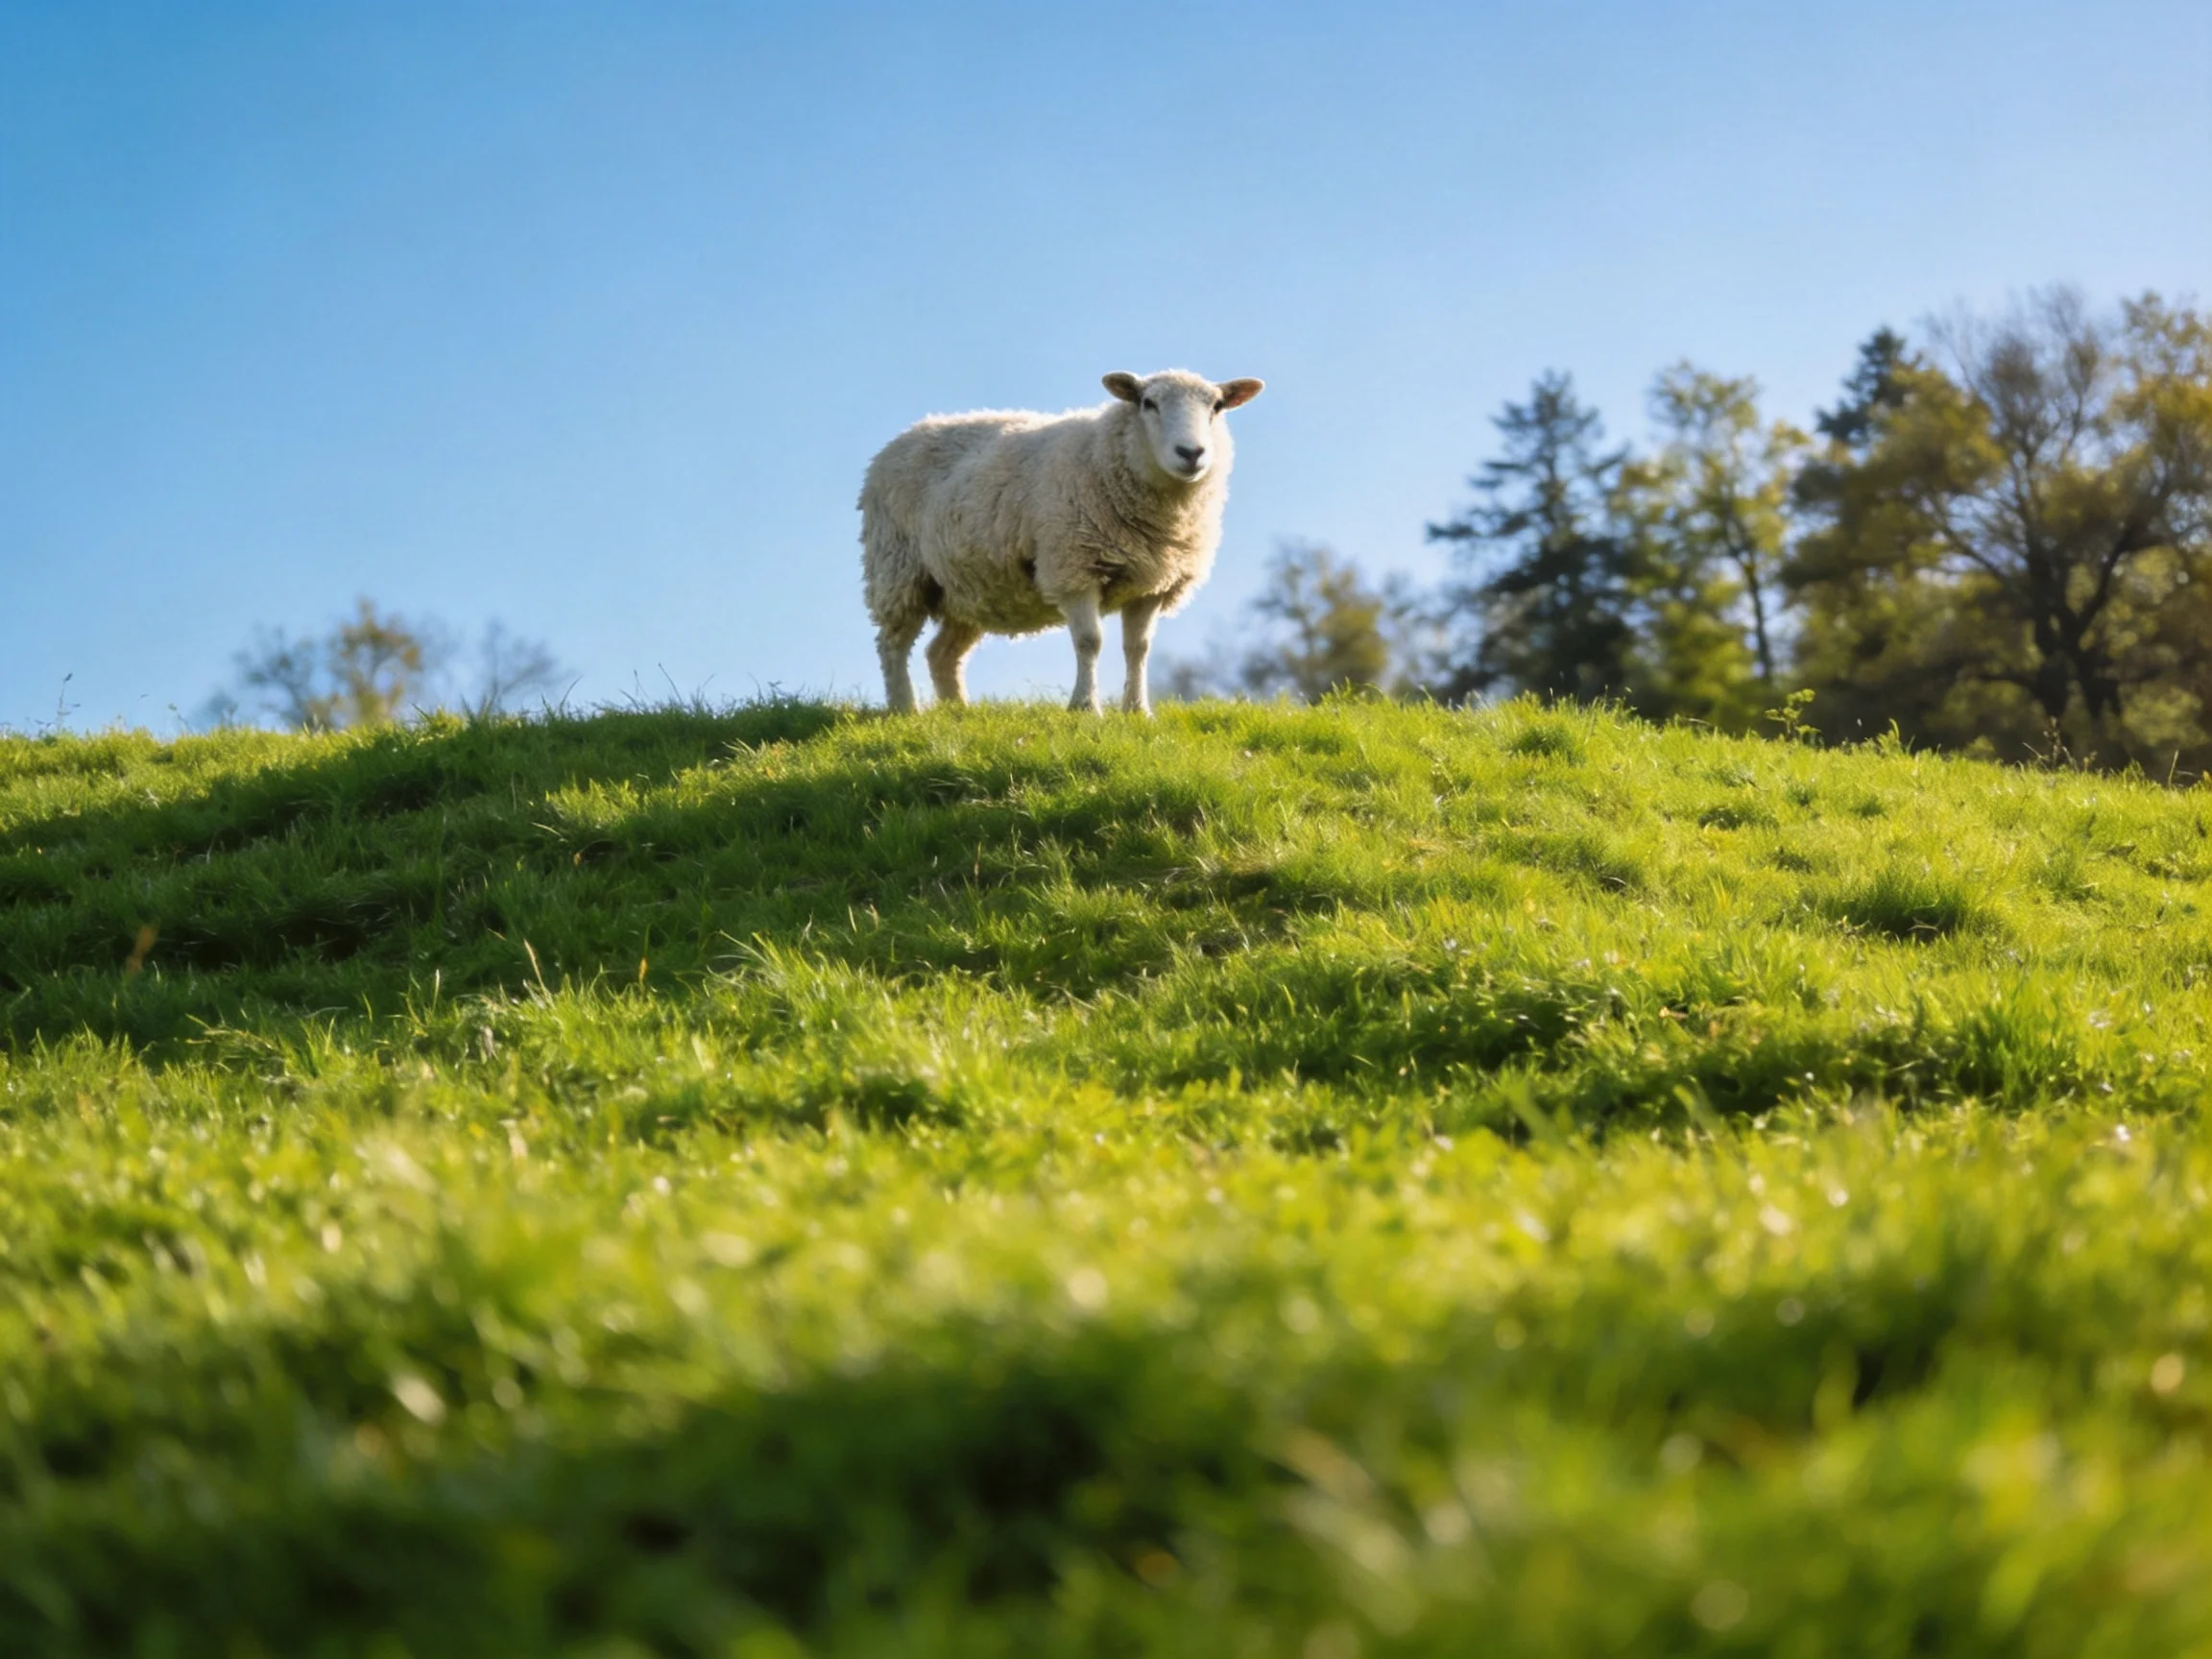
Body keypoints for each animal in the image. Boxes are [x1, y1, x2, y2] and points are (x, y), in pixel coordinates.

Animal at [859, 369, 1265, 715]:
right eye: (1148, 403)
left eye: (1217, 406)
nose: (1191, 453)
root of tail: (909, 433)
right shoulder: (1074, 566)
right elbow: (1090, 641)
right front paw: (1085, 707)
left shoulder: (1151, 583)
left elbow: (1138, 648)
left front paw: (1137, 711)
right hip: (898, 567)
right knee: (892, 644)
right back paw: (905, 708)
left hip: (968, 588)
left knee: (941, 654)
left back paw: (958, 711)